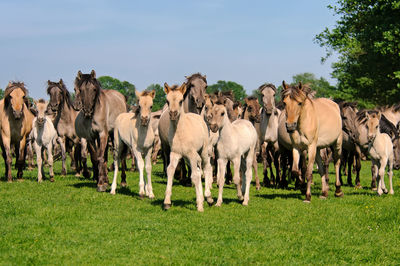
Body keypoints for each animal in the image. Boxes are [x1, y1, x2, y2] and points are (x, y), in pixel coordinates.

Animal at [162, 83, 214, 212]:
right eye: (167, 101)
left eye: (181, 101)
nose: (173, 114)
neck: (181, 132)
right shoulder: (175, 153)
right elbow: (170, 170)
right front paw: (167, 202)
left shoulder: (191, 154)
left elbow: (195, 176)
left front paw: (200, 205)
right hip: (188, 157)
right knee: (198, 171)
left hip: (203, 152)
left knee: (206, 168)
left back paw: (208, 197)